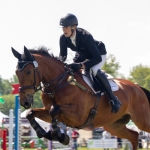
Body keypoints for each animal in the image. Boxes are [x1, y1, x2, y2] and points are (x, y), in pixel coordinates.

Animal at [12, 46, 150, 150]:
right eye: (16, 73)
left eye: (28, 72)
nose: (24, 102)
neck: (59, 83)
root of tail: (137, 87)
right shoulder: (51, 112)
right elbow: (32, 113)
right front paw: (45, 133)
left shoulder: (78, 115)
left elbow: (54, 110)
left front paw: (59, 136)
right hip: (114, 125)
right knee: (134, 136)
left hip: (142, 120)